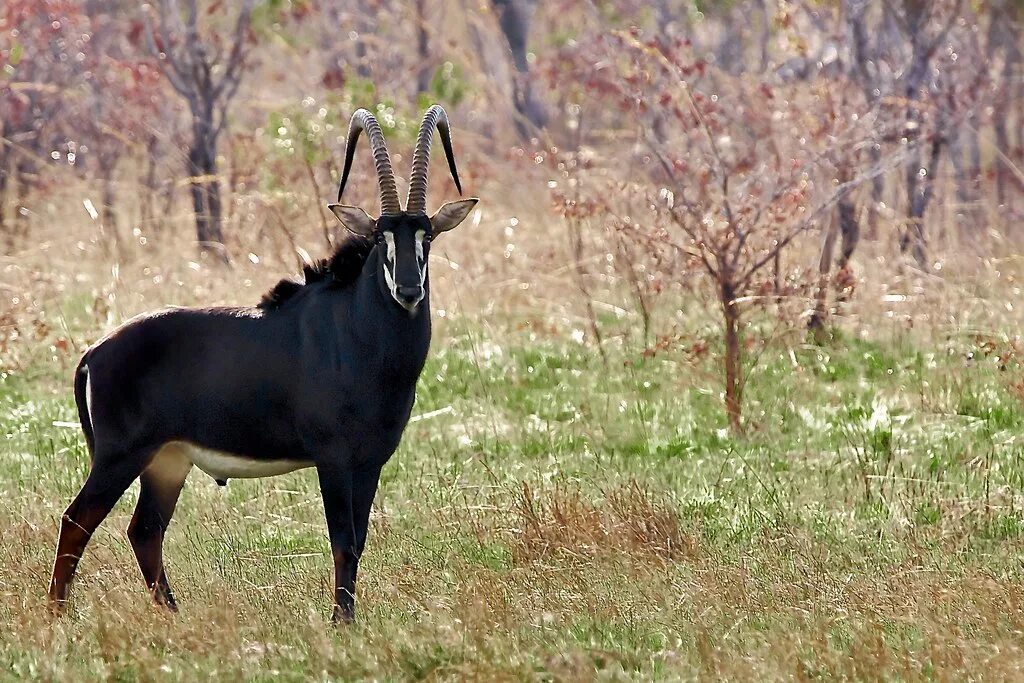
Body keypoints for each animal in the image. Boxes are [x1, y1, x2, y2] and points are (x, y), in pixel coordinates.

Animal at [46, 104, 477, 622]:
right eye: (380, 235)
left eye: (426, 234)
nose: (409, 290)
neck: (358, 336)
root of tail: (93, 354)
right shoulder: (333, 459)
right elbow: (343, 543)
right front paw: (342, 624)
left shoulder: (370, 461)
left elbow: (358, 543)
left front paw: (349, 620)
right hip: (120, 456)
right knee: (77, 521)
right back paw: (58, 617)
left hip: (166, 461)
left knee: (144, 530)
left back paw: (174, 617)